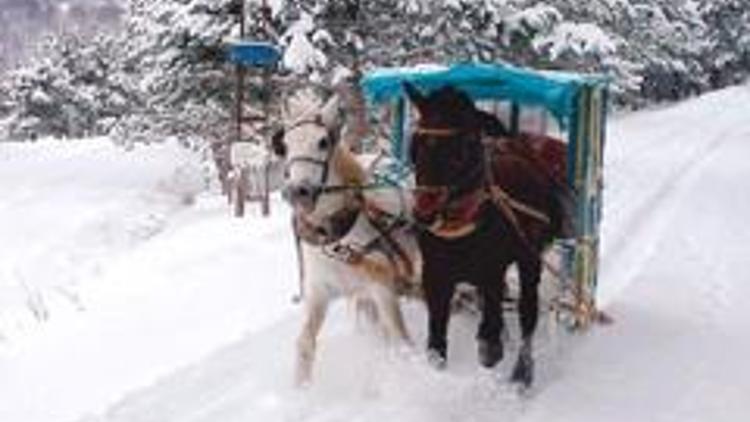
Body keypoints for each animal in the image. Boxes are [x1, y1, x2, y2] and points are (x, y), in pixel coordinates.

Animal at [274, 93, 420, 386]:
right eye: (285, 145)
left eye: (323, 142)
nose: (298, 192)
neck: (334, 237)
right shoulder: (319, 291)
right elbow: (304, 343)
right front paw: (301, 390)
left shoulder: (382, 285)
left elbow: (400, 339)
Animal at [408, 81, 568, 386]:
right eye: (415, 145)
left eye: (461, 149)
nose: (424, 215)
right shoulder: (434, 276)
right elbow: (436, 344)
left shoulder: (492, 272)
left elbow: (489, 346)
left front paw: (495, 346)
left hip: (530, 259)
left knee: (528, 311)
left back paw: (522, 373)